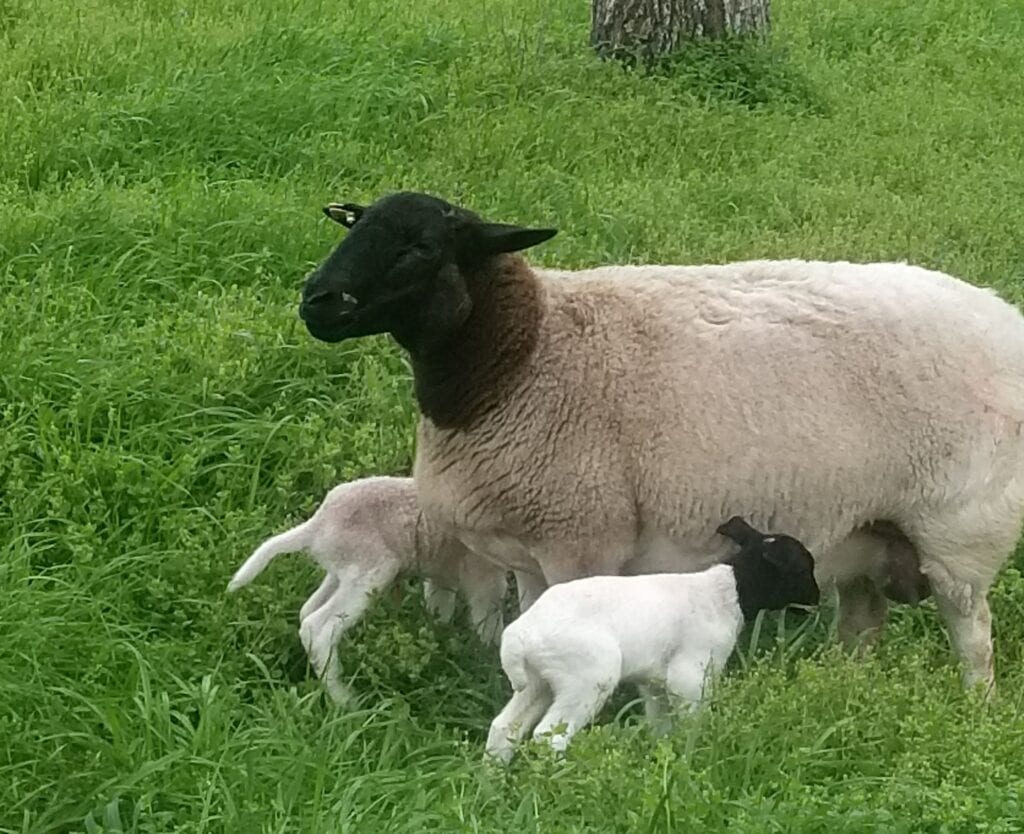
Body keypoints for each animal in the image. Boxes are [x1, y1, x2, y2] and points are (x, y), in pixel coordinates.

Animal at [227, 475, 508, 704]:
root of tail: (316, 526)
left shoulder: (443, 570)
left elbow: (441, 606)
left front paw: (443, 638)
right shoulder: (484, 573)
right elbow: (488, 615)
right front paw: (491, 656)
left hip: (341, 572)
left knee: (308, 610)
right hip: (370, 571)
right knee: (318, 627)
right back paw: (345, 700)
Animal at [298, 191, 1024, 693]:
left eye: (420, 247)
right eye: (354, 225)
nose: (315, 301)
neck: (527, 359)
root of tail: (1004, 316)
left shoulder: (581, 539)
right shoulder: (528, 551)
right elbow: (526, 621)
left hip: (961, 530)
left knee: (973, 637)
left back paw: (974, 707)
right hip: (867, 530)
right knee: (862, 625)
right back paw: (846, 693)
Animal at [484, 516, 821, 763]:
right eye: (802, 568)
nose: (816, 600)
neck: (728, 592)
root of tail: (519, 635)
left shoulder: (655, 683)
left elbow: (662, 727)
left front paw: (665, 756)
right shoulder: (690, 674)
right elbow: (691, 720)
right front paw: (696, 751)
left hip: (538, 681)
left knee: (504, 727)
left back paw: (494, 781)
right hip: (587, 678)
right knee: (549, 736)